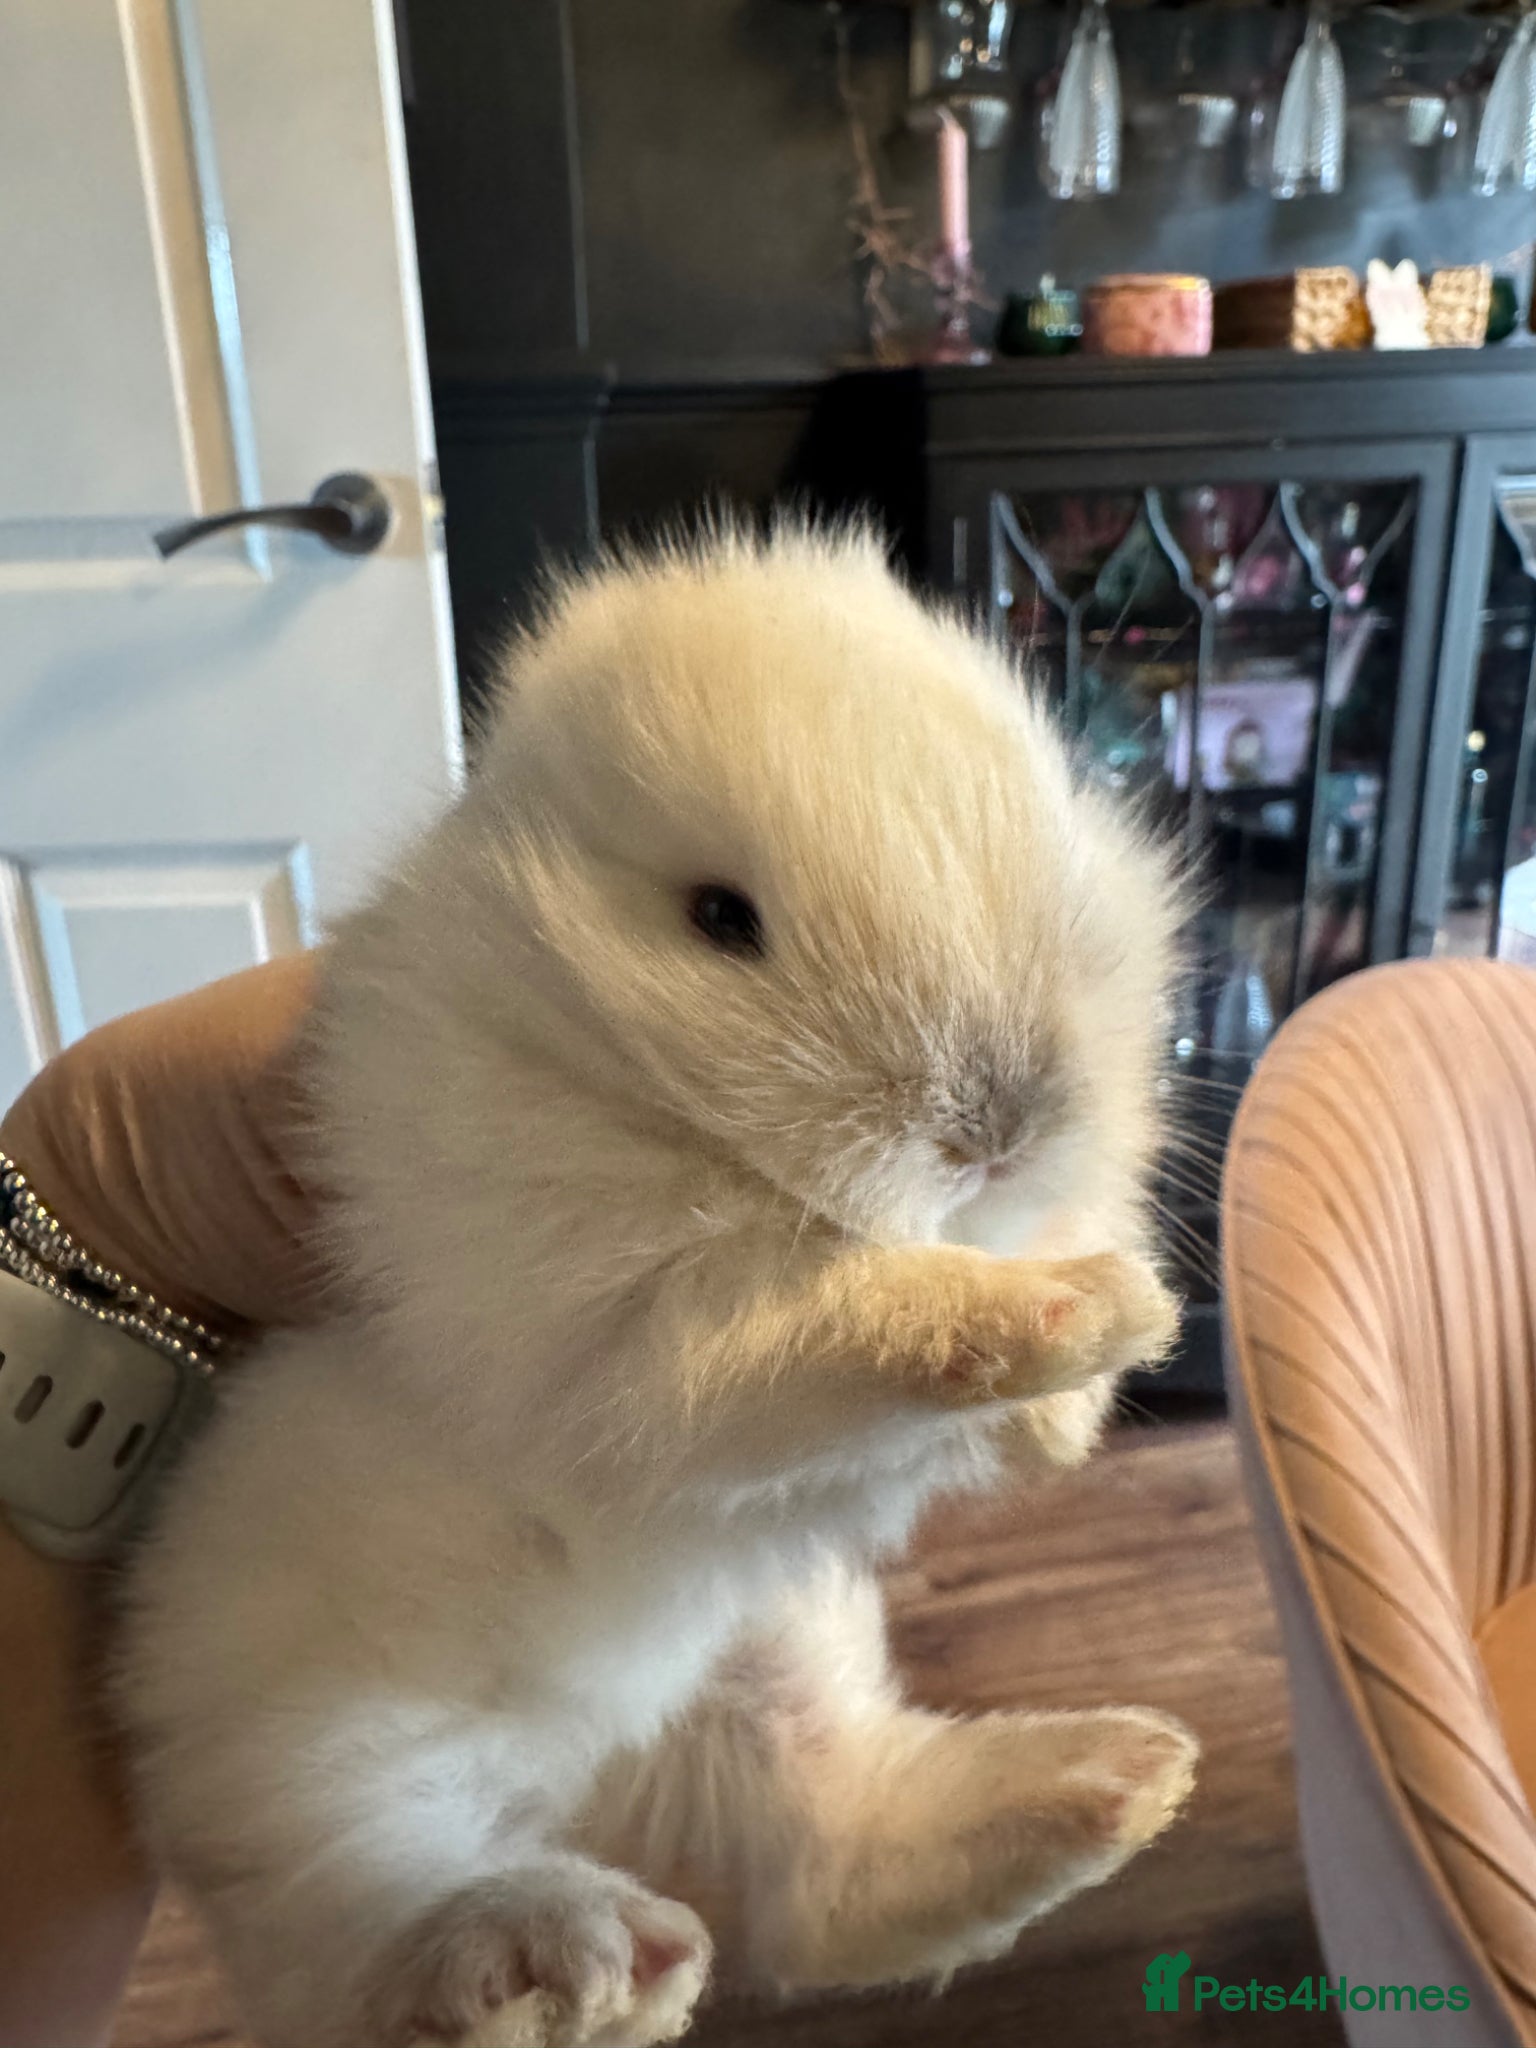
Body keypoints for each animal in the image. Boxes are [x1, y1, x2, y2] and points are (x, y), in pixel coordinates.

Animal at [118, 523, 1197, 2048]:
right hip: (309, 1768)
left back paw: (1125, 1775)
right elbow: (847, 1321)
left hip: (781, 1645)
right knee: (370, 1934)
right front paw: (1085, 1315)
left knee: (823, 1867)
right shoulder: (640, 1341)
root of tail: (592, 1767)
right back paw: (569, 1962)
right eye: (720, 919)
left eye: (1055, 838)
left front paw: (1069, 1400)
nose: (998, 1123)